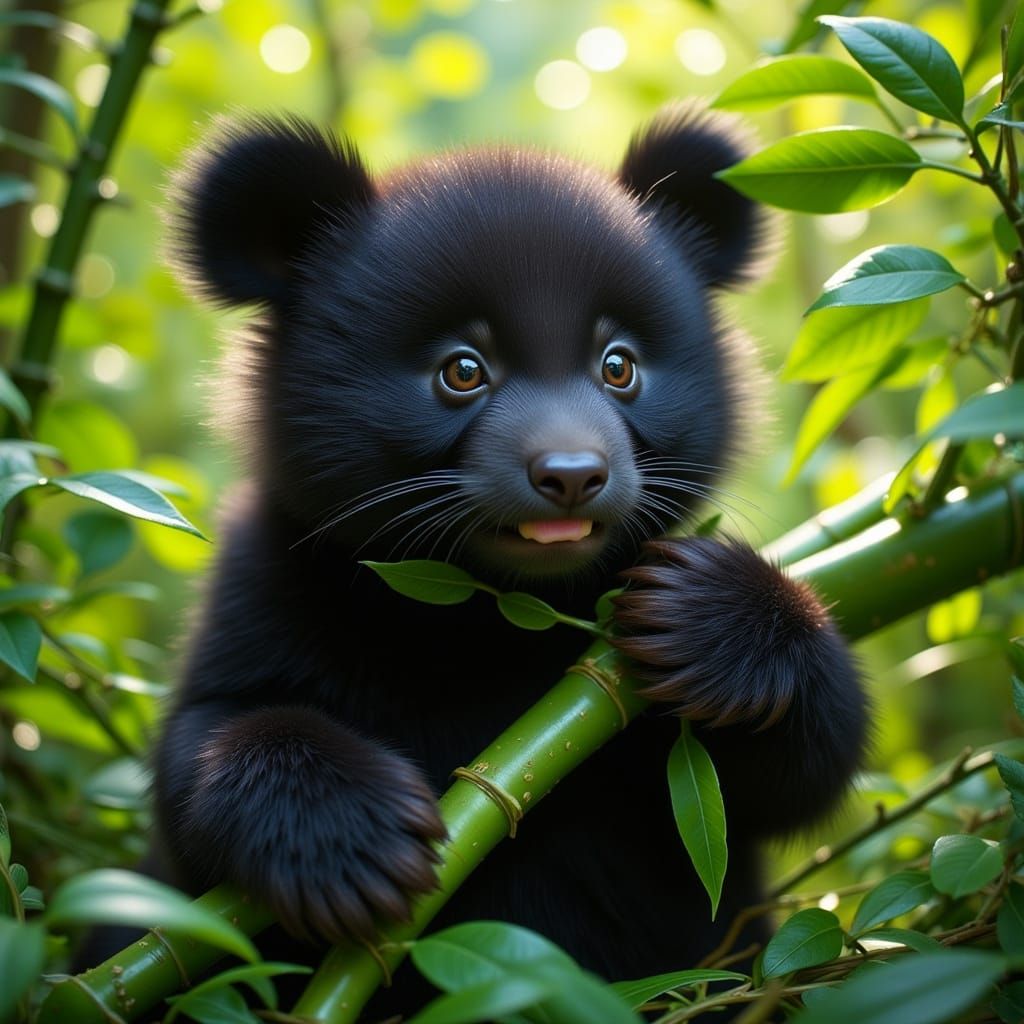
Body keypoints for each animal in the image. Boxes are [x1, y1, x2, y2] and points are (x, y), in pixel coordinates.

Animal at [155, 101, 867, 1014]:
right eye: (463, 370)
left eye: (618, 365)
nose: (571, 474)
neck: (488, 617)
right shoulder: (270, 584)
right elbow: (200, 758)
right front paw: (341, 830)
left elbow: (803, 768)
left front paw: (719, 620)